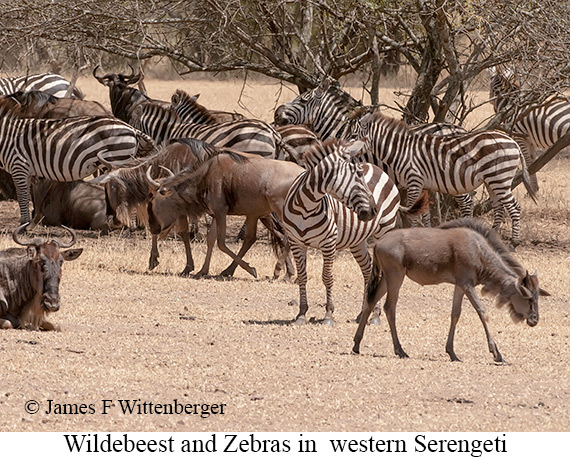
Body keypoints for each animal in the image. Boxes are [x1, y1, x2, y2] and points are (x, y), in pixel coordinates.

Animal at [0, 95, 155, 224]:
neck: (7, 137)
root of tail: (131, 128)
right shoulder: (26, 171)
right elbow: (27, 196)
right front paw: (25, 223)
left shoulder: (19, 166)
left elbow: (22, 197)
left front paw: (23, 226)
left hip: (118, 159)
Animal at [146, 138, 306, 278]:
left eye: (151, 199)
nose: (152, 227)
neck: (205, 175)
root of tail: (303, 174)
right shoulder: (215, 214)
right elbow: (211, 240)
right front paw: (202, 271)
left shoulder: (221, 212)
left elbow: (221, 243)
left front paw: (250, 269)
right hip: (259, 214)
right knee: (263, 237)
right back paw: (287, 274)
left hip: (278, 212)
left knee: (286, 237)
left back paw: (279, 271)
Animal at [280, 137, 426, 326]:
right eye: (358, 175)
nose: (373, 210)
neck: (306, 206)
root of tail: (378, 168)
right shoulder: (296, 242)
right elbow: (302, 276)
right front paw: (301, 314)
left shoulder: (329, 242)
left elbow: (327, 277)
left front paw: (328, 314)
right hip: (357, 241)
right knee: (368, 270)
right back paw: (365, 313)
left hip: (384, 230)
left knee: (379, 272)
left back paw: (376, 316)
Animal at [344, 111, 536, 246]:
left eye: (353, 136)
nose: (342, 152)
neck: (402, 151)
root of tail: (512, 141)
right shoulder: (424, 185)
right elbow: (424, 213)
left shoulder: (414, 181)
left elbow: (413, 213)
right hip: (492, 181)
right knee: (499, 209)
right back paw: (492, 238)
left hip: (500, 179)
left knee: (514, 208)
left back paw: (514, 243)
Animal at [352, 219, 548, 362]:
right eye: (529, 298)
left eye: (538, 296)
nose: (535, 319)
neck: (479, 251)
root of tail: (378, 244)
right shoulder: (467, 284)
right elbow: (482, 312)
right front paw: (496, 353)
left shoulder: (460, 286)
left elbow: (455, 314)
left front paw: (452, 353)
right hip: (395, 276)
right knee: (389, 307)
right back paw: (400, 350)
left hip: (387, 278)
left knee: (370, 301)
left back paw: (356, 344)